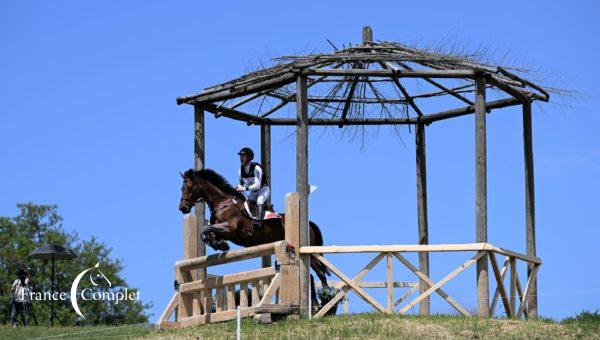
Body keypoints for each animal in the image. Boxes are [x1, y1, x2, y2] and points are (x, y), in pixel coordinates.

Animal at [177, 167, 332, 290]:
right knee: (314, 275)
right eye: (181, 189)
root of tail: (308, 223)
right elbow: (206, 233)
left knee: (320, 273)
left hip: (309, 252)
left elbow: (206, 227)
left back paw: (325, 296)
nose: (183, 208)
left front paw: (219, 244)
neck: (223, 203)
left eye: (189, 188)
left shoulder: (231, 229)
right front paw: (219, 244)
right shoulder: (224, 231)